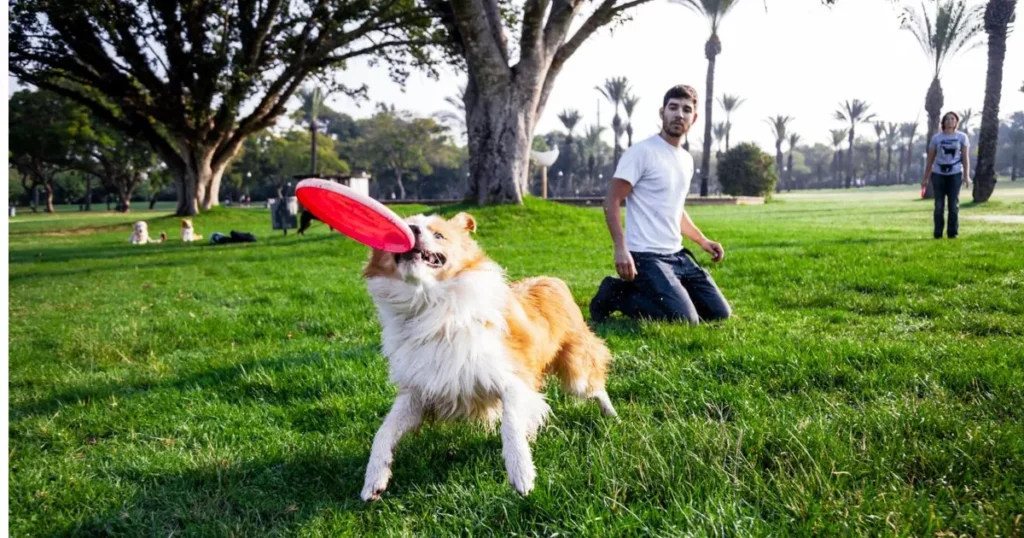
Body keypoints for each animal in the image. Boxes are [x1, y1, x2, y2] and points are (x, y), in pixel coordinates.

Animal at [360, 210, 614, 500]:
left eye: (439, 234)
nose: (411, 230)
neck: (430, 307)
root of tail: (551, 279)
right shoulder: (417, 393)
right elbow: (383, 432)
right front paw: (373, 480)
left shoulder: (513, 379)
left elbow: (510, 424)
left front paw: (521, 474)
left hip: (577, 371)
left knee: (595, 384)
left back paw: (611, 415)